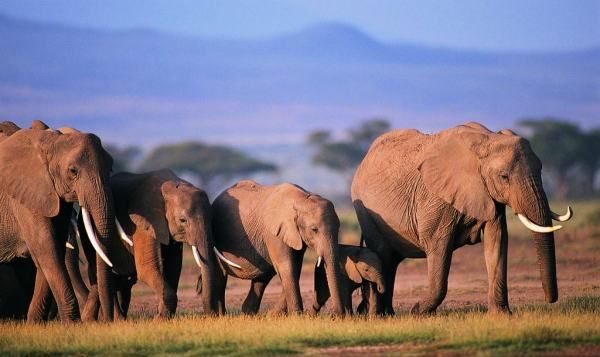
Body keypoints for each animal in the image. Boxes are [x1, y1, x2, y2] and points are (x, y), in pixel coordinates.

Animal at [0, 126, 120, 322]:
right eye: (73, 171)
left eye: (110, 168)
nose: (108, 321)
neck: (51, 141)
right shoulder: (24, 195)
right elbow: (45, 246)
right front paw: (73, 324)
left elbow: (54, 245)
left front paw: (34, 323)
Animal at [72, 169, 218, 318]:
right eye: (183, 220)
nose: (210, 315)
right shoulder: (143, 222)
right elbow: (147, 268)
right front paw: (158, 320)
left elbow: (174, 266)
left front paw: (162, 316)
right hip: (85, 231)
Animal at [209, 181, 346, 314]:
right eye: (314, 229)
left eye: (339, 228)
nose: (336, 315)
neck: (301, 199)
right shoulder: (274, 233)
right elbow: (287, 266)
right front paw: (296, 315)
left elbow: (295, 267)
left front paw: (276, 315)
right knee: (220, 275)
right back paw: (221, 315)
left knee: (262, 278)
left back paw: (248, 314)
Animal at [352, 121, 572, 314]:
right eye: (504, 177)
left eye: (541, 169)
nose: (550, 300)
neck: (487, 139)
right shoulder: (436, 197)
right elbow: (438, 245)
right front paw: (418, 312)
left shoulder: (489, 196)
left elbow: (497, 242)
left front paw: (502, 315)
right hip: (366, 212)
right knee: (383, 254)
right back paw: (381, 315)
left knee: (392, 261)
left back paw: (388, 314)